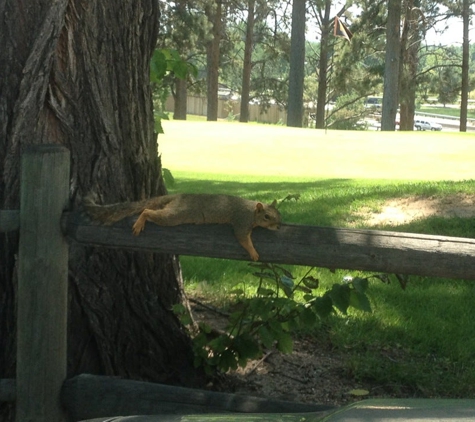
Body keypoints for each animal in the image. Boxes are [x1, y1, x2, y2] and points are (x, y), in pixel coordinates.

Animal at [84, 194, 282, 260]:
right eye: (266, 216)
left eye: (279, 214)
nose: (279, 227)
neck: (252, 211)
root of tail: (177, 197)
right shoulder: (241, 222)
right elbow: (242, 238)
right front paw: (253, 252)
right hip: (175, 215)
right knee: (148, 211)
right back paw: (141, 221)